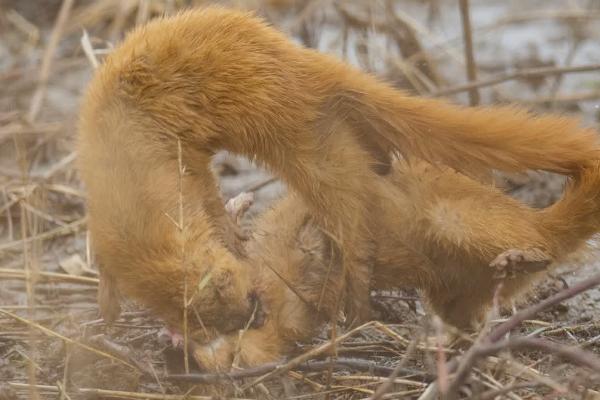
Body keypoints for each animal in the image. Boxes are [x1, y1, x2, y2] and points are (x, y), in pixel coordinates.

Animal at [78, 6, 600, 332]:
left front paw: (233, 232)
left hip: (310, 145)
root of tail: (314, 66)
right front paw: (106, 311)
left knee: (353, 221)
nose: (256, 316)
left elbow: (208, 194)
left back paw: (358, 304)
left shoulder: (182, 157)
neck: (120, 161)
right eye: (207, 324)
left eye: (231, 290)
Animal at [191, 158, 600, 370]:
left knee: (541, 248)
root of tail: (534, 218)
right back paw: (439, 340)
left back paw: (518, 257)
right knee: (469, 320)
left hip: (456, 218)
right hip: (452, 289)